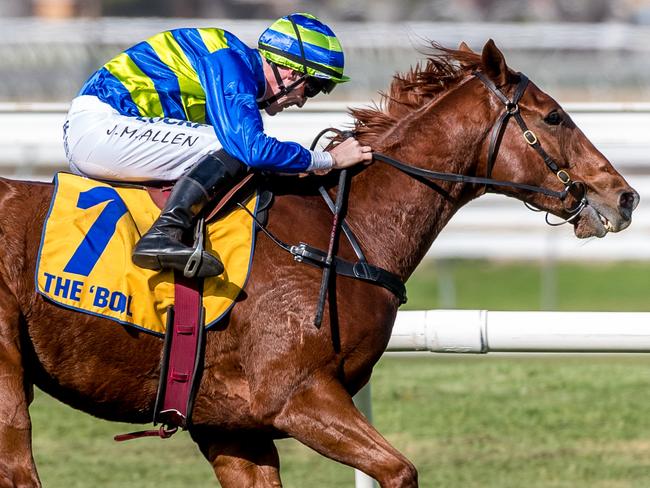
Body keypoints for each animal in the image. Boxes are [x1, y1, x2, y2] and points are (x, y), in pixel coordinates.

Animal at [0, 40, 636, 486]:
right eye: (553, 116)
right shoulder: (299, 395)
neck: (343, 232)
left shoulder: (229, 426)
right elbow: (399, 470)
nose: (624, 196)